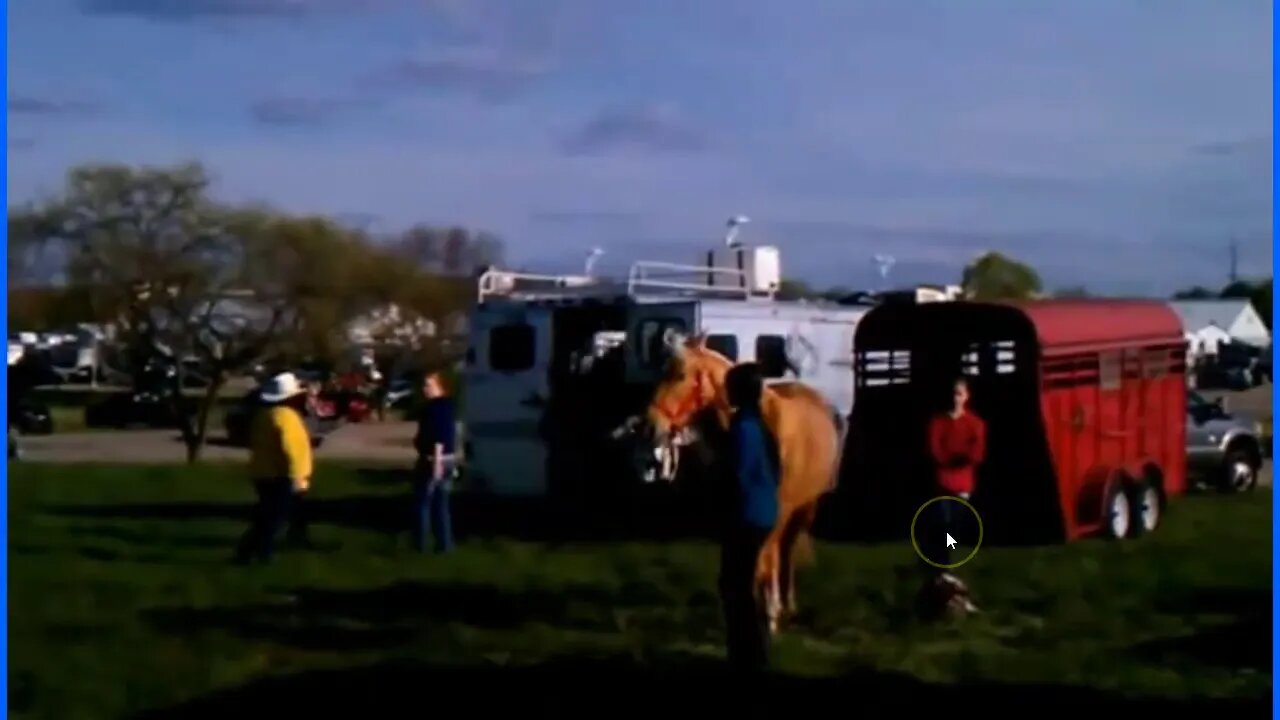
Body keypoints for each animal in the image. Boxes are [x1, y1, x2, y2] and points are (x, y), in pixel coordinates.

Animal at [645, 333, 844, 630]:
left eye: (680, 375)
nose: (650, 424)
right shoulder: (733, 514)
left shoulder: (776, 513)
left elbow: (767, 560)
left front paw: (770, 615)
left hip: (806, 507)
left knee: (785, 551)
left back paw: (786, 604)